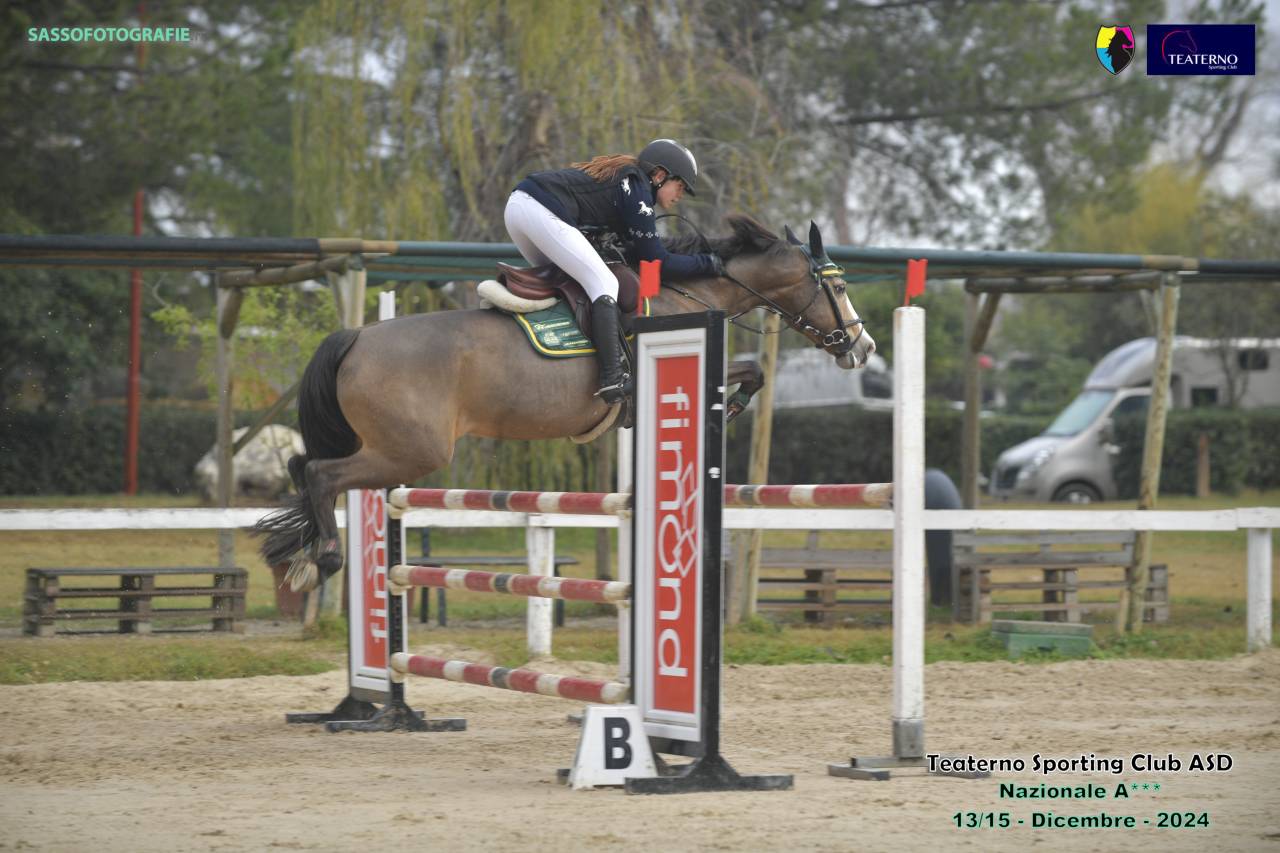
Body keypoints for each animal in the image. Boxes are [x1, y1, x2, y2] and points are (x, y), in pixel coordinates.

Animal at [255, 215, 876, 590]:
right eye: (838, 287)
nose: (863, 347)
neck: (689, 289)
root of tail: (355, 337)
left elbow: (753, 371)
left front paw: (733, 404)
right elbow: (752, 371)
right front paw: (731, 405)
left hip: (387, 448)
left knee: (301, 464)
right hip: (411, 452)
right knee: (320, 473)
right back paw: (324, 559)